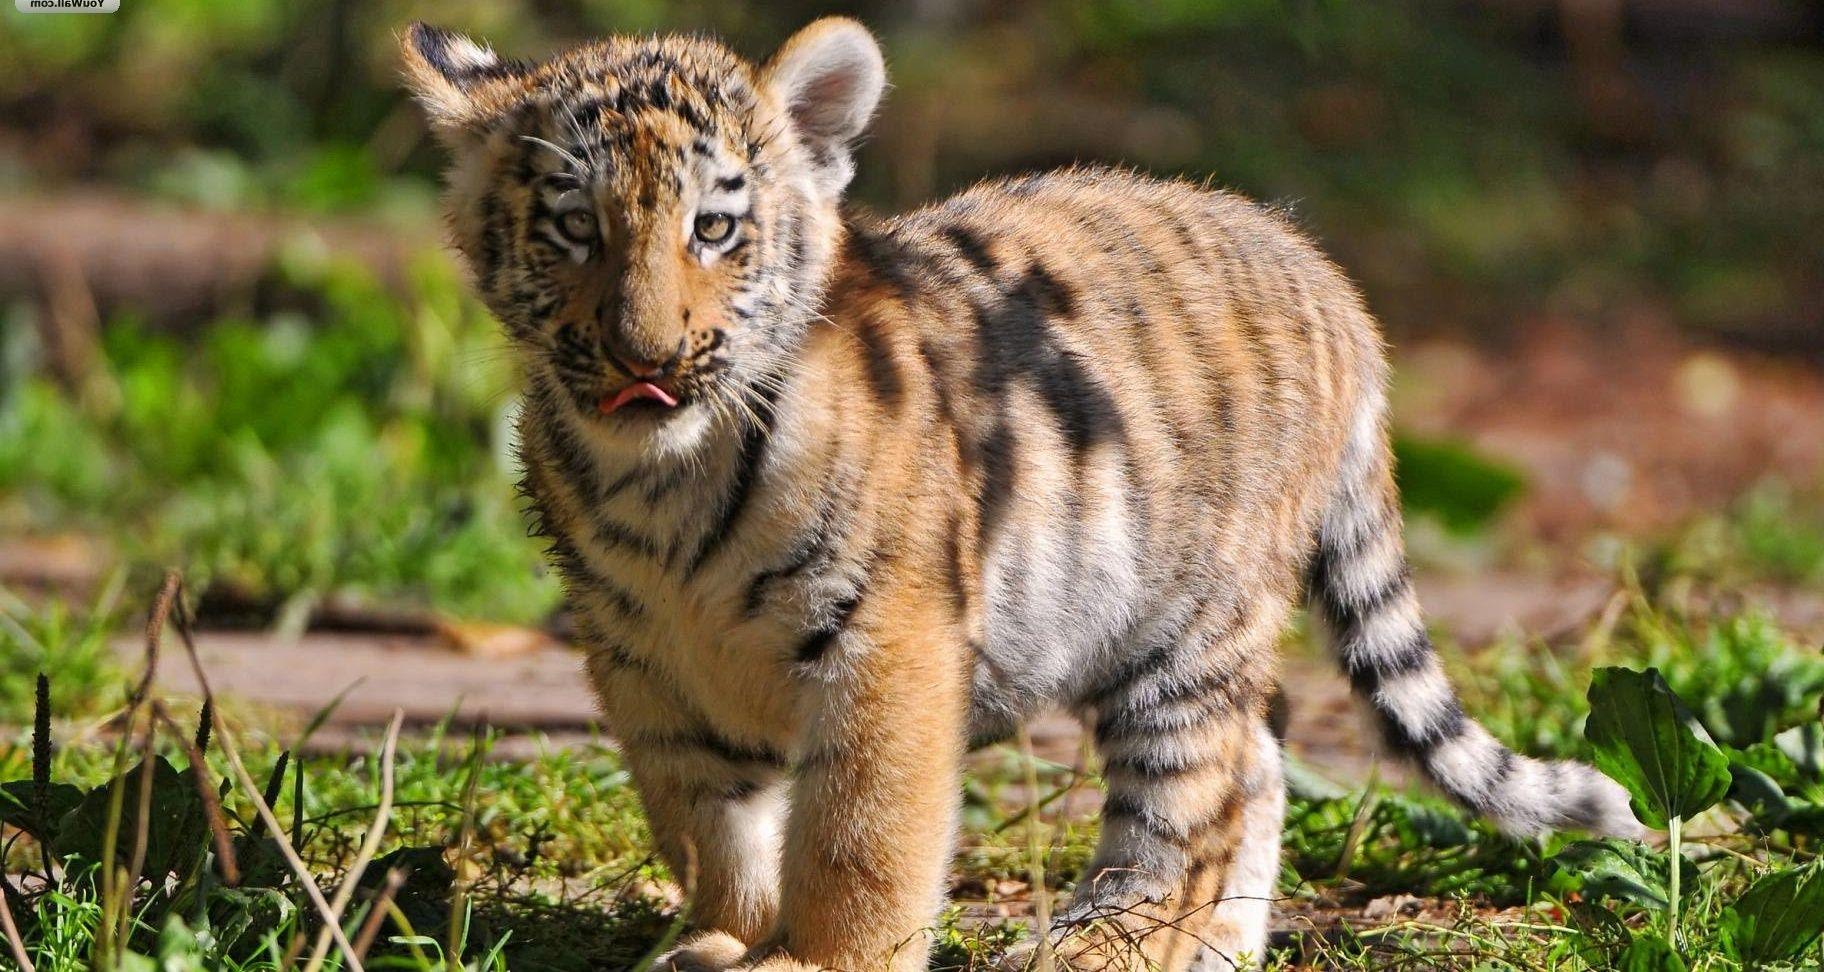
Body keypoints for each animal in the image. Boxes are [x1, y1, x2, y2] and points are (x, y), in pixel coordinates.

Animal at [401, 17, 1642, 972]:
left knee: (1200, 796)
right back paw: (1216, 949)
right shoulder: (643, 660)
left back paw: (1099, 945)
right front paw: (720, 939)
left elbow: (858, 837)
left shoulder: (887, 641)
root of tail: (1324, 272)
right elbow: (707, 824)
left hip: (1186, 630)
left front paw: (822, 958)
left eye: (715, 227)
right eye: (575, 228)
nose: (644, 358)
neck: (662, 476)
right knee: (1263, 755)